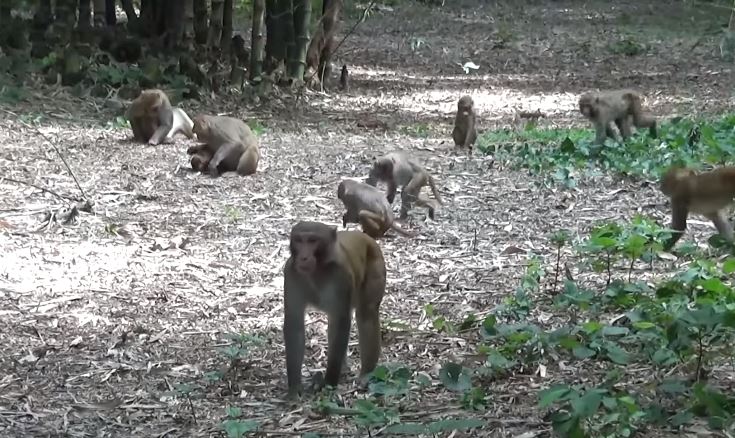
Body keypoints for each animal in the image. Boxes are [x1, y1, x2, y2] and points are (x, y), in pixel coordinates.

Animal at [282, 222, 388, 396]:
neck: (318, 269)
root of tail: (366, 237)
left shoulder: (341, 276)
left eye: (312, 240)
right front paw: (295, 387)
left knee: (366, 315)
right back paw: (343, 369)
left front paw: (329, 382)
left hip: (376, 263)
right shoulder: (291, 272)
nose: (303, 257)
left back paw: (366, 373)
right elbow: (294, 324)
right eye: (298, 240)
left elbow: (341, 322)